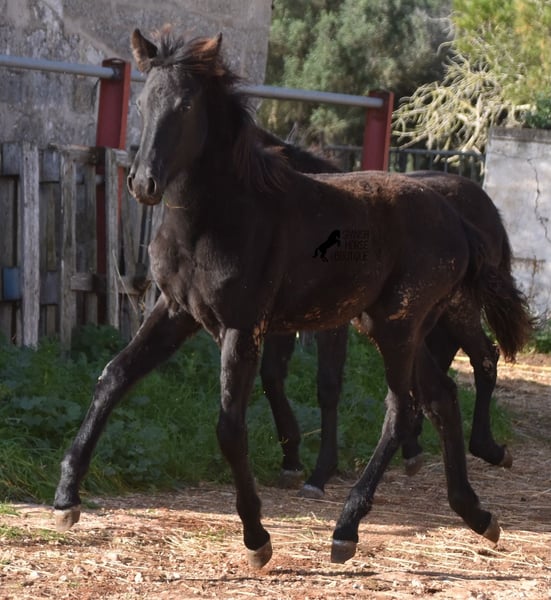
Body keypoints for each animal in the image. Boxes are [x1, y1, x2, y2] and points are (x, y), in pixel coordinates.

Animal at [256, 132, 532, 498]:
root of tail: (485, 204)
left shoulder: (334, 322)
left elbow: (327, 384)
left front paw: (320, 474)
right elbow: (272, 376)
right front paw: (291, 462)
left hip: (459, 308)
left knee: (484, 357)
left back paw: (487, 448)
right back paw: (415, 446)